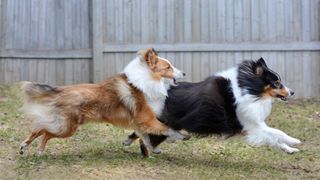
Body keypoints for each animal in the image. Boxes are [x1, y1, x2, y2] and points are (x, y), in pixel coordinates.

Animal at [20, 48, 185, 156]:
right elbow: (166, 128)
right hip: (67, 128)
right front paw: (182, 136)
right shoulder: (147, 119)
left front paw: (151, 149)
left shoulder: (140, 123)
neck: (148, 80)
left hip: (62, 124)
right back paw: (39, 151)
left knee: (39, 128)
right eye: (168, 67)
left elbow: (145, 137)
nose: (184, 73)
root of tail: (60, 90)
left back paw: (24, 146)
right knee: (45, 132)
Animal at [124, 58, 302, 156]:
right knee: (144, 134)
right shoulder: (252, 125)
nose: (292, 92)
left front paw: (290, 149)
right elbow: (277, 133)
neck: (248, 89)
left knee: (144, 134)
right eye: (277, 83)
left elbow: (274, 139)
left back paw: (136, 145)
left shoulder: (254, 127)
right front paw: (295, 141)